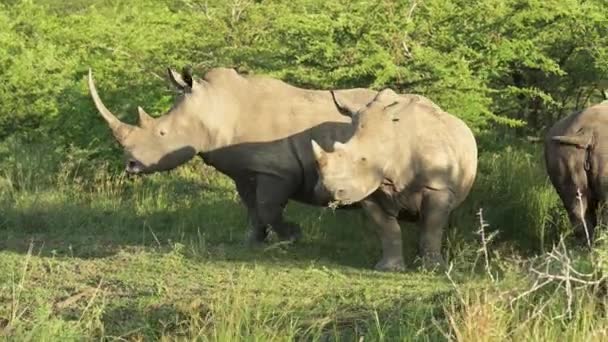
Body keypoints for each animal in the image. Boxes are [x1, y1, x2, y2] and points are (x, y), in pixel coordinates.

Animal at [312, 89, 478, 270]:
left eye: (364, 160)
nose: (327, 191)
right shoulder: (369, 190)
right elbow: (387, 228)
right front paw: (389, 268)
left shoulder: (438, 186)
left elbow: (432, 226)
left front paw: (434, 268)